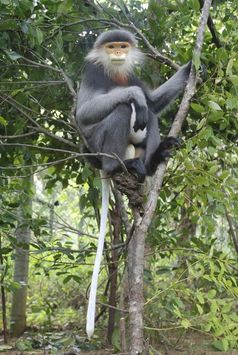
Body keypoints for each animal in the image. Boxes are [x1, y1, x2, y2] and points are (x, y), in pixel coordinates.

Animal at [76, 29, 192, 338]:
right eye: (112, 47)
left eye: (123, 46)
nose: (118, 53)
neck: (115, 72)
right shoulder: (92, 72)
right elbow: (84, 112)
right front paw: (133, 95)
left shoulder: (131, 75)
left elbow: (153, 103)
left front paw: (191, 67)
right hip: (99, 147)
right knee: (120, 110)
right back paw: (118, 166)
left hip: (135, 148)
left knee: (148, 114)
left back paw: (151, 162)